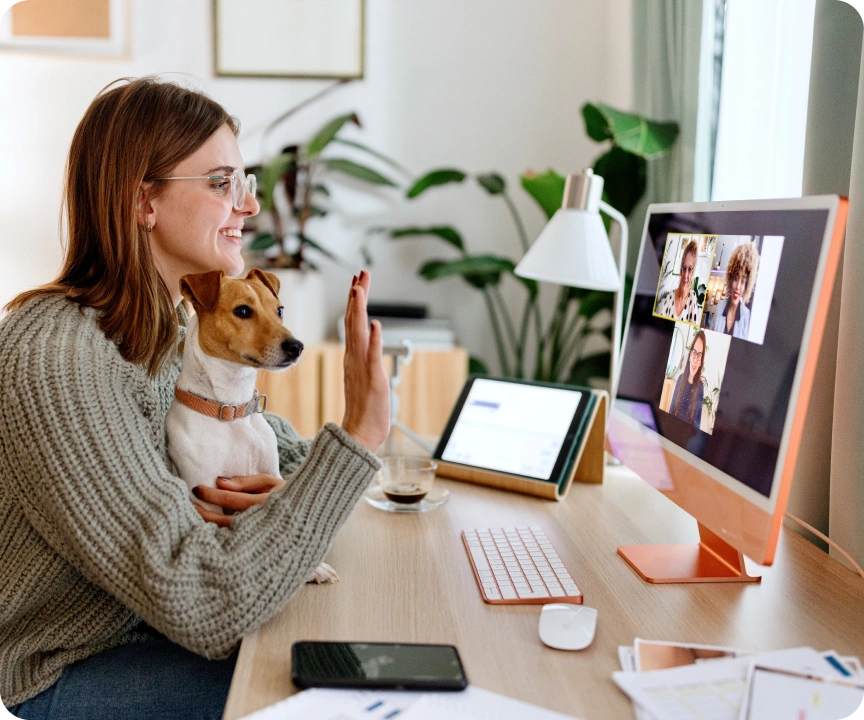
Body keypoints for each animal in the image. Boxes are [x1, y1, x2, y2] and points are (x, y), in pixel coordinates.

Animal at [165, 268, 338, 584]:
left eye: (280, 310)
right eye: (243, 311)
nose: (297, 347)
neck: (232, 410)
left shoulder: (270, 473)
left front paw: (315, 567)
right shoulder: (203, 491)